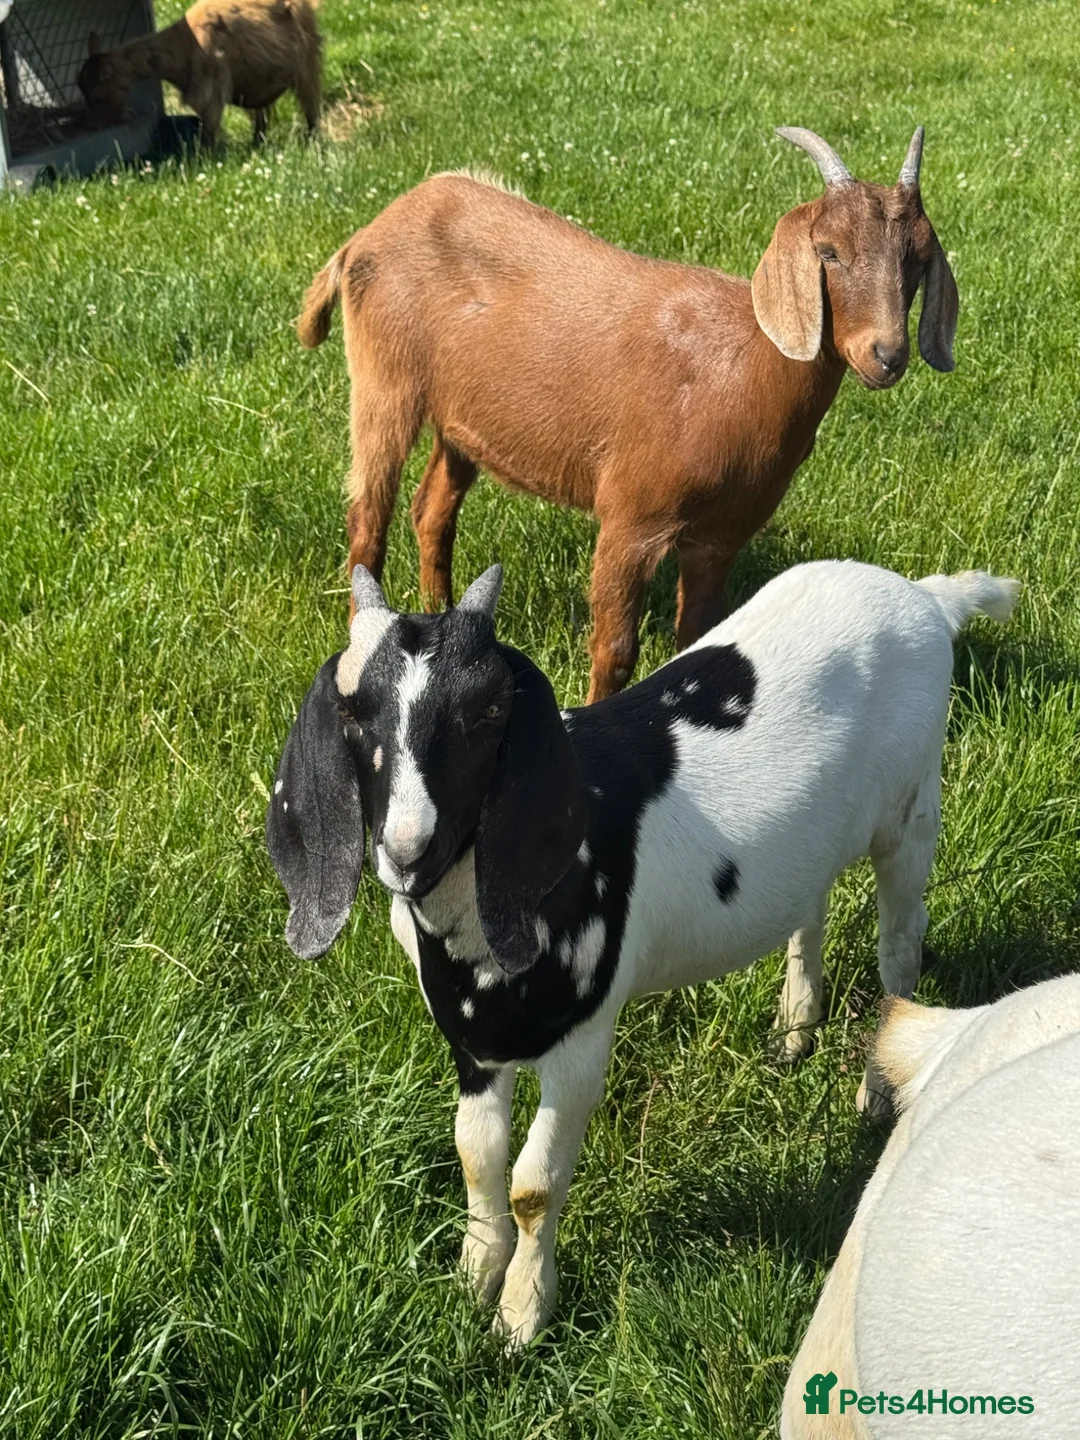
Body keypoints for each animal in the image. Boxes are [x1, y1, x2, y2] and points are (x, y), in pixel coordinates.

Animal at [77, 0, 322, 146]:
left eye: (98, 95)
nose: (91, 125)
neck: (183, 43)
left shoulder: (211, 91)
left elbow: (208, 131)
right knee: (261, 115)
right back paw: (257, 142)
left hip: (308, 63)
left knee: (311, 106)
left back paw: (311, 140)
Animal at [266, 559, 1017, 1347]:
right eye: (353, 711)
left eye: (489, 710)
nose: (408, 850)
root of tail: (926, 597)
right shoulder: (473, 1040)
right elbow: (477, 1153)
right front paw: (472, 1278)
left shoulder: (580, 1043)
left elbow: (534, 1184)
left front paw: (521, 1317)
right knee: (807, 910)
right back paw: (793, 1031)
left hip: (911, 811)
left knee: (900, 947)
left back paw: (875, 1093)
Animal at [298, 128, 958, 703]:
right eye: (829, 252)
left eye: (919, 259)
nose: (887, 355)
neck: (738, 370)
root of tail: (367, 234)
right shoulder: (631, 517)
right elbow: (614, 648)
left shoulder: (721, 534)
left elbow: (698, 635)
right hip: (385, 378)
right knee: (368, 515)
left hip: (460, 418)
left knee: (432, 509)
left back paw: (441, 616)